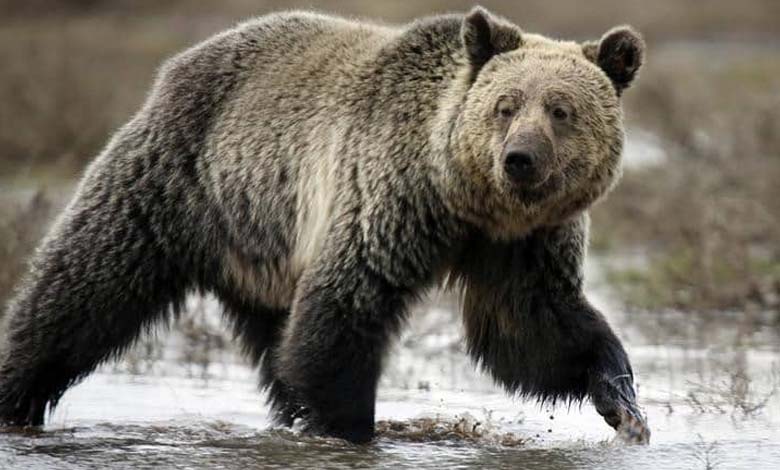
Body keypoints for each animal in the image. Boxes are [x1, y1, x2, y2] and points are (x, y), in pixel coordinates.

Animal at [0, 6, 644, 444]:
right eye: (505, 105)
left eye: (561, 110)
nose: (520, 159)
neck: (467, 200)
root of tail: (179, 62)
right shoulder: (388, 197)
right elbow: (346, 308)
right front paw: (346, 427)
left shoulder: (522, 244)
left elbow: (532, 327)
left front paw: (622, 400)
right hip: (177, 182)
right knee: (84, 288)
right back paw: (16, 395)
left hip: (263, 245)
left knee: (275, 340)